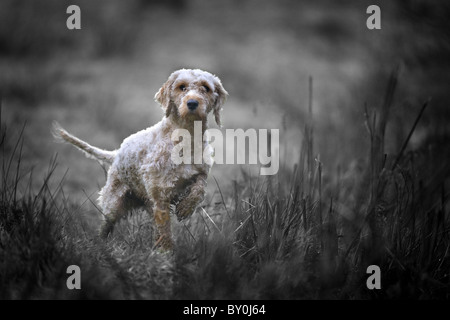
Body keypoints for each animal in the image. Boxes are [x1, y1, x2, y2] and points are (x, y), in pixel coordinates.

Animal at [52, 69, 229, 250]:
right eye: (182, 87)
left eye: (206, 88)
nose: (192, 103)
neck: (185, 138)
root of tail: (116, 154)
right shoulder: (161, 194)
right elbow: (165, 229)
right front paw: (166, 253)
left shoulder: (199, 173)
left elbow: (199, 189)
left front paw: (185, 207)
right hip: (113, 205)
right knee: (106, 226)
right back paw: (100, 244)